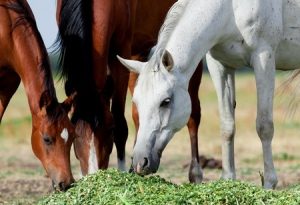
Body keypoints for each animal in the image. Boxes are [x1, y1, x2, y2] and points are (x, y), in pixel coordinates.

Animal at [118, 0, 300, 189]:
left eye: (165, 101)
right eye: (136, 102)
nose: (140, 162)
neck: (231, 9)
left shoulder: (264, 58)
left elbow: (264, 126)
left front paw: (269, 184)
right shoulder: (220, 65)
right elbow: (227, 126)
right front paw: (227, 179)